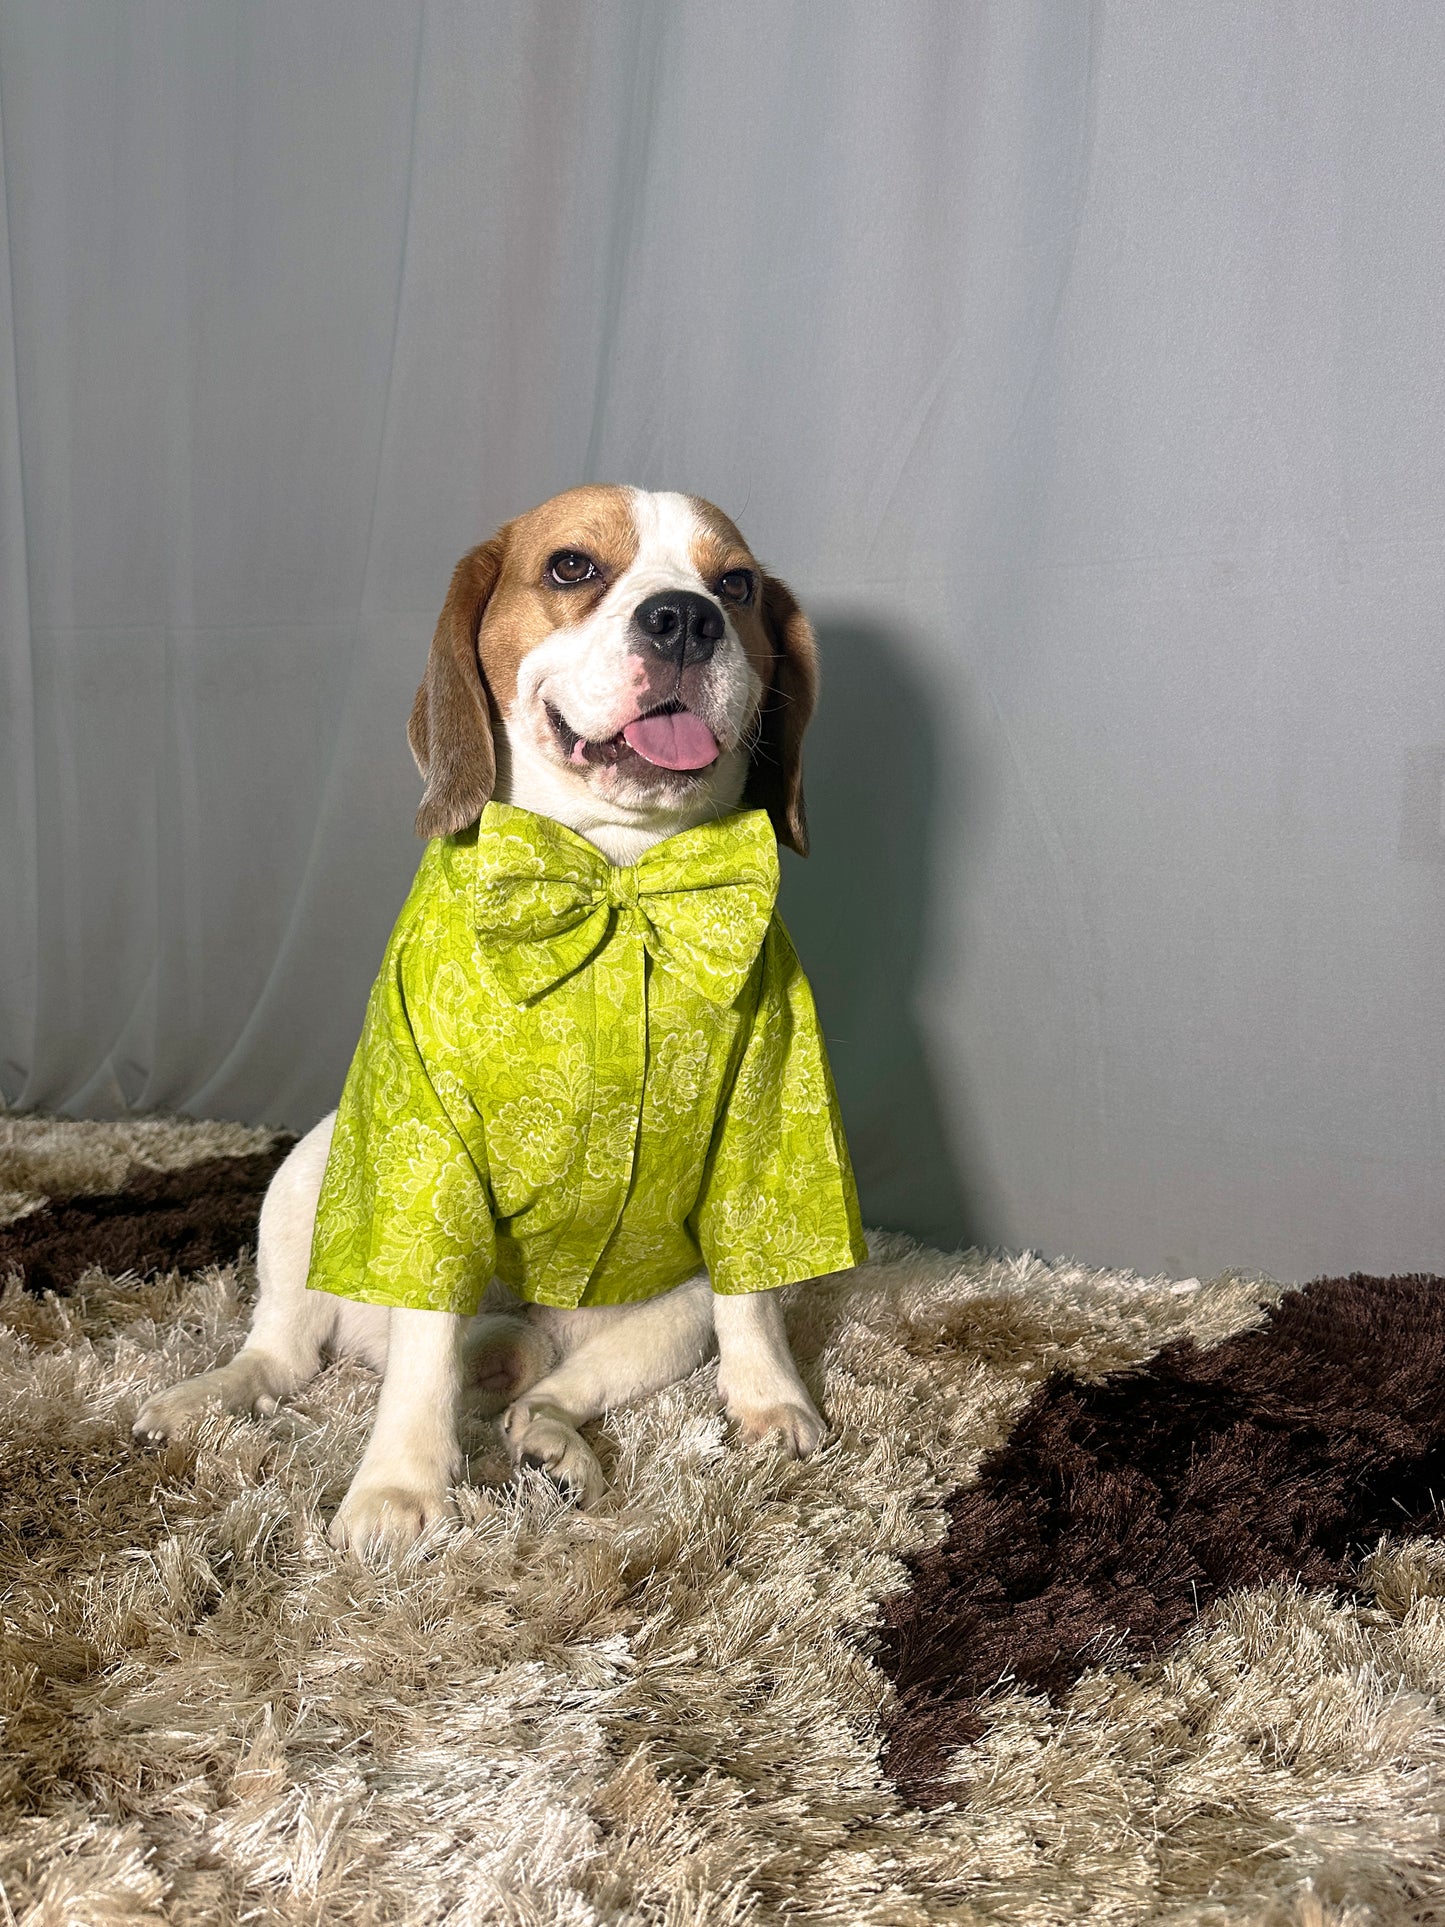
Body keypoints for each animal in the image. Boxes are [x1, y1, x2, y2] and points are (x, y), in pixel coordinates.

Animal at [132, 489, 859, 1557]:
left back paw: (553, 1444)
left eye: (736, 584)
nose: (686, 619)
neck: (612, 872)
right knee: (291, 1354)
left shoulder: (761, 1129)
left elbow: (755, 1295)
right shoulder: (426, 1154)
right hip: (311, 1173)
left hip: (660, 1319)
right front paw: (399, 1488)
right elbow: (420, 1354)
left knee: (542, 1393)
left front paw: (771, 1401)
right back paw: (208, 1394)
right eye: (570, 567)